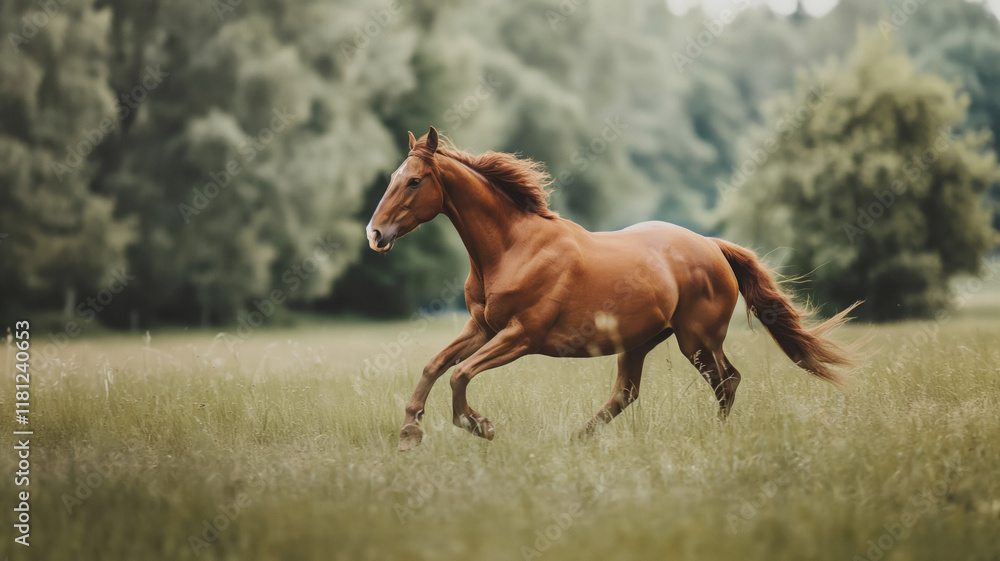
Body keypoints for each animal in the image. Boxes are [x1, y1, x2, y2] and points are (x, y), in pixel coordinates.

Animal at [367, 126, 858, 451]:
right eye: (392, 177)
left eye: (414, 180)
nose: (375, 234)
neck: (513, 249)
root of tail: (713, 245)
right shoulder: (482, 328)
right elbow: (435, 365)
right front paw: (410, 433)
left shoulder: (521, 335)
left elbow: (459, 374)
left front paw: (480, 426)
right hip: (639, 342)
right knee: (627, 393)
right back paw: (576, 438)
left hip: (697, 339)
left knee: (727, 380)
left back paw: (715, 437)